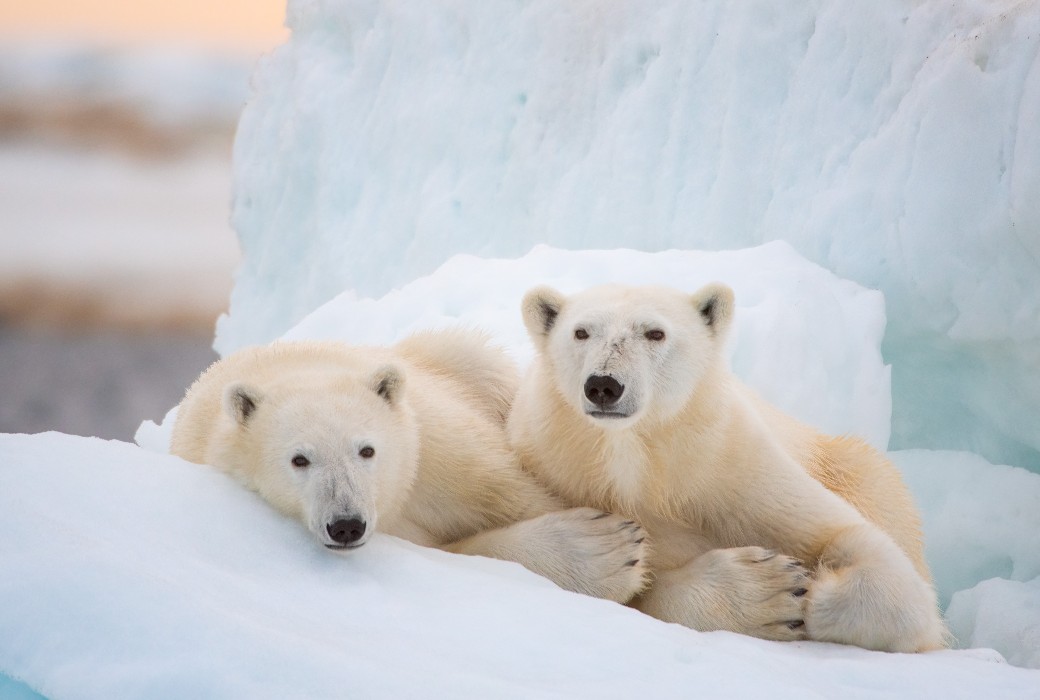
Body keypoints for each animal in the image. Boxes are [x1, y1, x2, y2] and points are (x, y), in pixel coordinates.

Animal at [170, 328, 647, 604]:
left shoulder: (436, 448)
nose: (347, 524)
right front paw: (607, 551)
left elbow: (516, 493)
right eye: (299, 460)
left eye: (367, 450)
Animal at [508, 282, 946, 652]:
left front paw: (813, 589)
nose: (604, 385)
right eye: (581, 332)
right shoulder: (560, 471)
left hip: (848, 465)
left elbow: (847, 536)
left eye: (655, 333)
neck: (639, 462)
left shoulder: (731, 467)